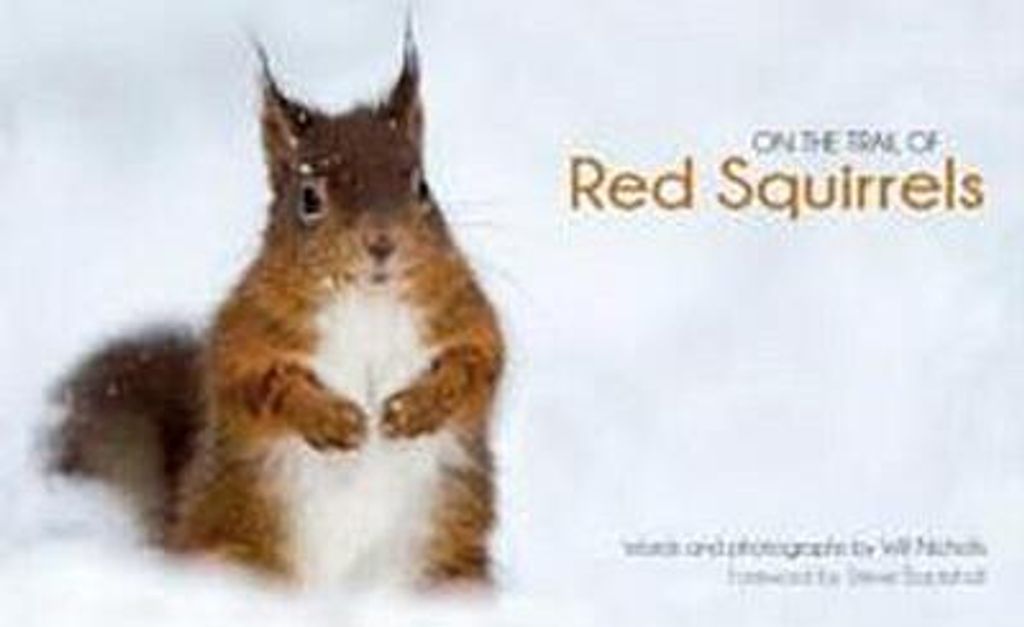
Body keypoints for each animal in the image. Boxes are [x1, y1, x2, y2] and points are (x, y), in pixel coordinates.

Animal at [50, 33, 504, 590]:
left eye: (421, 187)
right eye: (309, 198)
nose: (381, 244)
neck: (366, 300)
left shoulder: (466, 316)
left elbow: (477, 365)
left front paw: (413, 408)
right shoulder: (244, 334)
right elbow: (262, 383)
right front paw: (335, 419)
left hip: (451, 573)